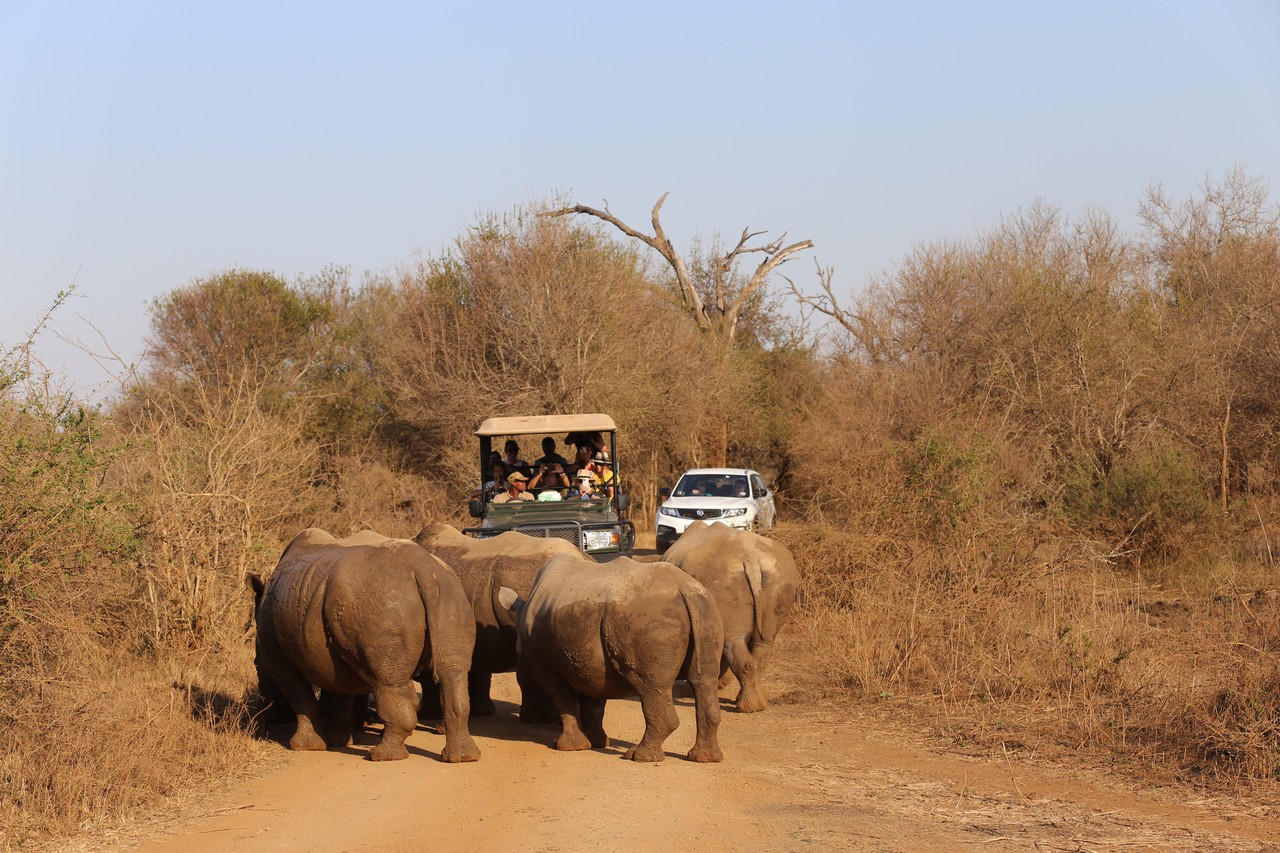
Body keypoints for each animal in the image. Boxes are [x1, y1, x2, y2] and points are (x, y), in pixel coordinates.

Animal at [249, 528, 480, 762]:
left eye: (257, 664)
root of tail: (423, 568)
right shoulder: (337, 649)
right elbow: (339, 693)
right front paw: (341, 741)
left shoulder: (277, 654)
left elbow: (299, 695)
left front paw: (305, 747)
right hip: (448, 591)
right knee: (453, 671)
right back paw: (463, 757)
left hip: (380, 601)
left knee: (387, 681)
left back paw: (381, 756)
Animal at [501, 554, 724, 762]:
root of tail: (684, 589)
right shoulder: (588, 659)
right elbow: (593, 702)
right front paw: (597, 742)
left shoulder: (542, 662)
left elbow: (563, 699)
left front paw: (568, 746)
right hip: (706, 610)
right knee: (703, 681)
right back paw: (704, 758)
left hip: (650, 618)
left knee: (650, 686)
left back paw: (638, 756)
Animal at [660, 521, 799, 713]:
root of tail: (750, 559)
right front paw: (721, 684)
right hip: (777, 576)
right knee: (762, 642)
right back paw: (757, 703)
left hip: (726, 578)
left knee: (732, 641)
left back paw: (748, 707)